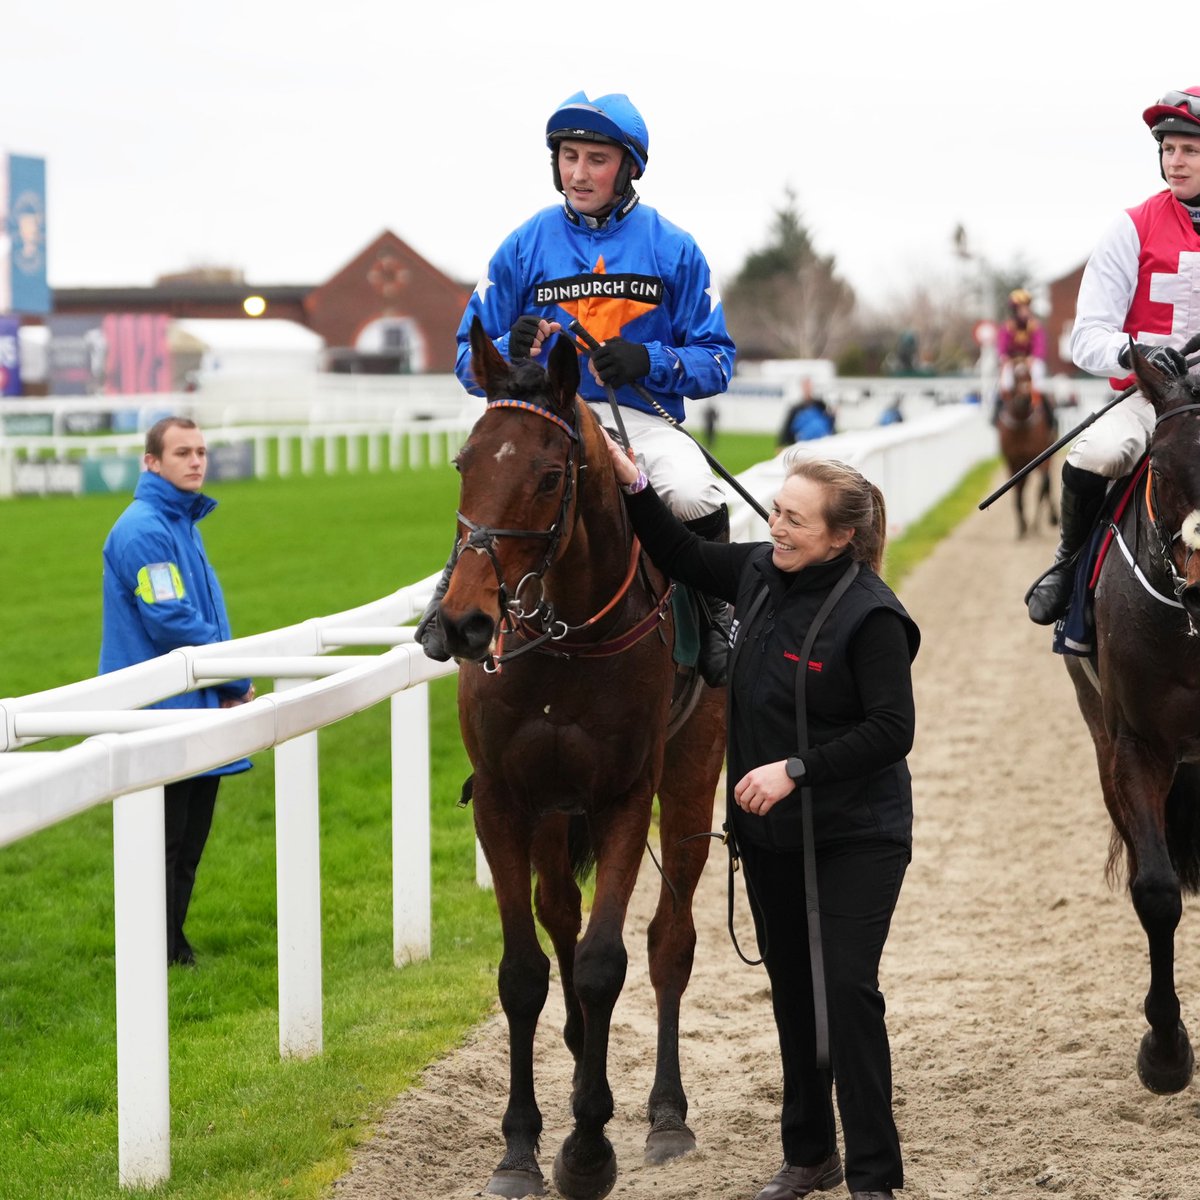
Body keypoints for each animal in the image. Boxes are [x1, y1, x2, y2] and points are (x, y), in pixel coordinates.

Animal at [436, 321, 724, 1200]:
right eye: (464, 462)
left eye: (550, 474)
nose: (462, 622)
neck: (564, 637)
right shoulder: (507, 799)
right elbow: (524, 971)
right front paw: (520, 1147)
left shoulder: (623, 795)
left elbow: (606, 961)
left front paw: (588, 1147)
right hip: (551, 814)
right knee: (558, 908)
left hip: (691, 777)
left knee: (670, 940)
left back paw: (666, 1113)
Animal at [998, 355, 1056, 540]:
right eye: (1016, 378)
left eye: (1030, 377)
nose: (1024, 399)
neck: (1022, 423)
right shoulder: (1013, 461)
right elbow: (1017, 491)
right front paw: (1022, 527)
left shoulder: (1040, 455)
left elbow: (1044, 484)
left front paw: (1035, 524)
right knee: (1023, 487)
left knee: (1047, 483)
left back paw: (1050, 517)